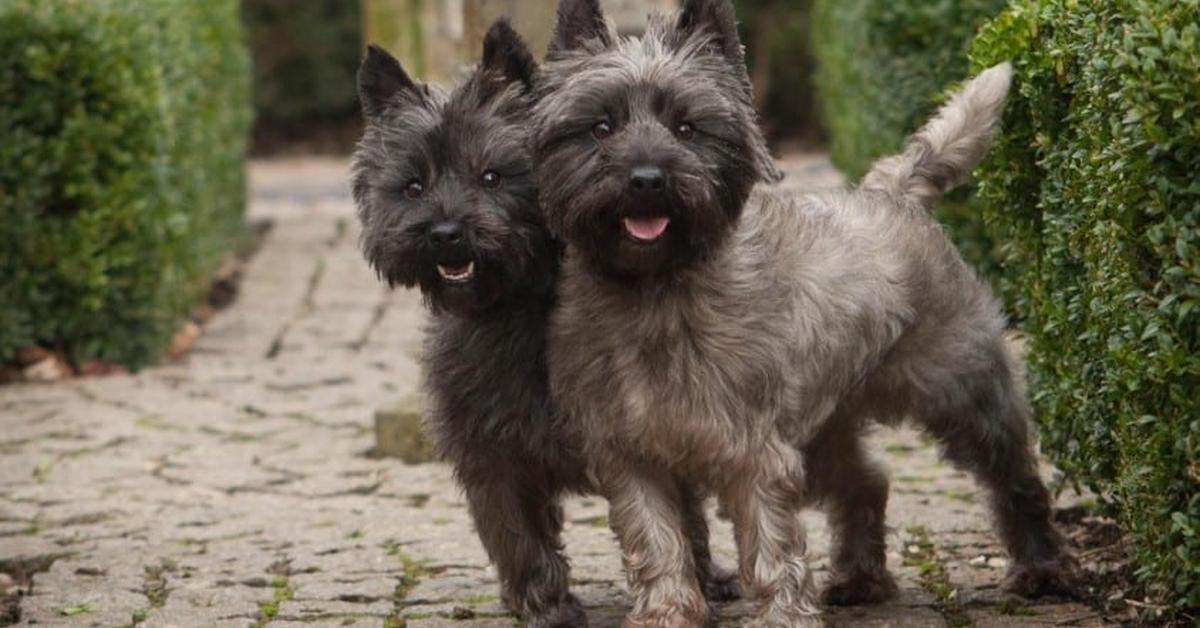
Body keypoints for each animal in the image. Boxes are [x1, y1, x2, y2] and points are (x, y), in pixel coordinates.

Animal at [350, 19, 734, 628]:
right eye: (413, 186)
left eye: (491, 177)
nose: (445, 233)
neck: (521, 308)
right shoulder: (490, 449)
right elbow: (516, 533)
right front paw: (544, 605)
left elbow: (678, 516)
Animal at [535, 2, 1080, 624]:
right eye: (600, 126)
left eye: (687, 127)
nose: (646, 179)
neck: (657, 292)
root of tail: (891, 191)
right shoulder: (631, 457)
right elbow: (656, 543)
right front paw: (666, 613)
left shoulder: (753, 450)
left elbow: (769, 544)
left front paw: (781, 614)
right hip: (823, 429)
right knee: (866, 483)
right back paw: (861, 578)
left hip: (962, 392)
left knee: (1013, 476)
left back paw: (1043, 568)